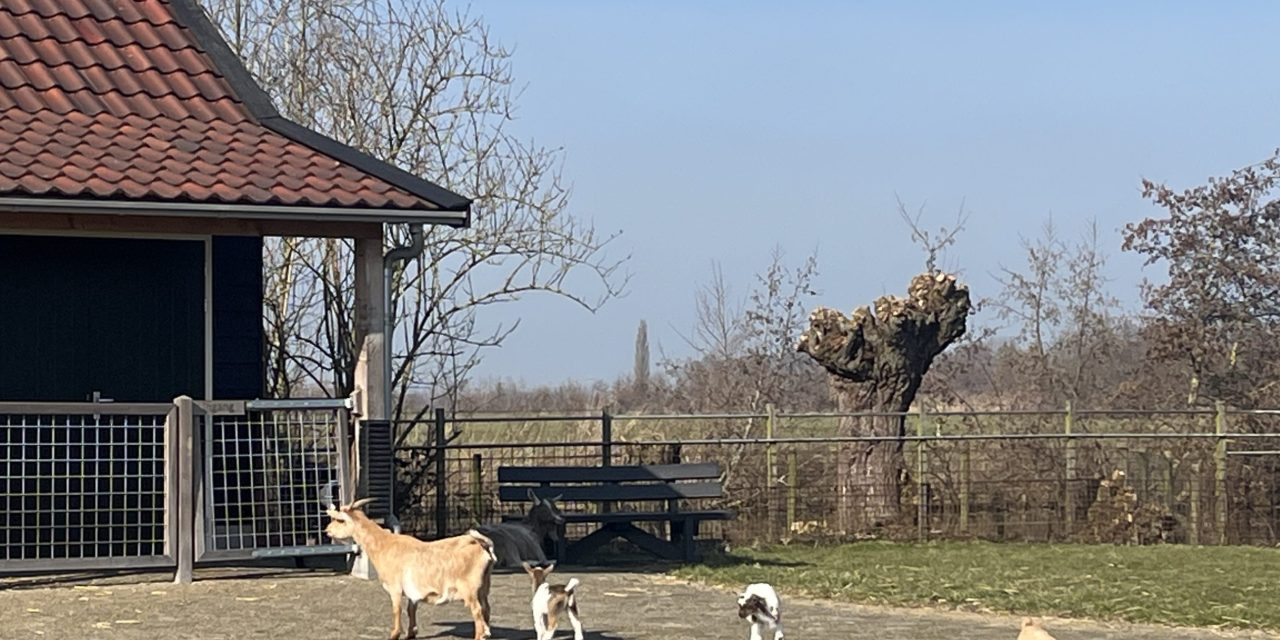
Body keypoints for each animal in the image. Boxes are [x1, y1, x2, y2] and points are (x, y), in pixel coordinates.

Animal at [327, 499, 496, 640]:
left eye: (340, 520)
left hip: (470, 590)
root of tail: (482, 545)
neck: (384, 545)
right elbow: (411, 609)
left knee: (477, 611)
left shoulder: (394, 587)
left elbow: (397, 610)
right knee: (486, 608)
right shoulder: (412, 592)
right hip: (484, 588)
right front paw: (411, 633)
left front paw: (394, 634)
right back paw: (487, 633)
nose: (327, 530)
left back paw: (479, 636)